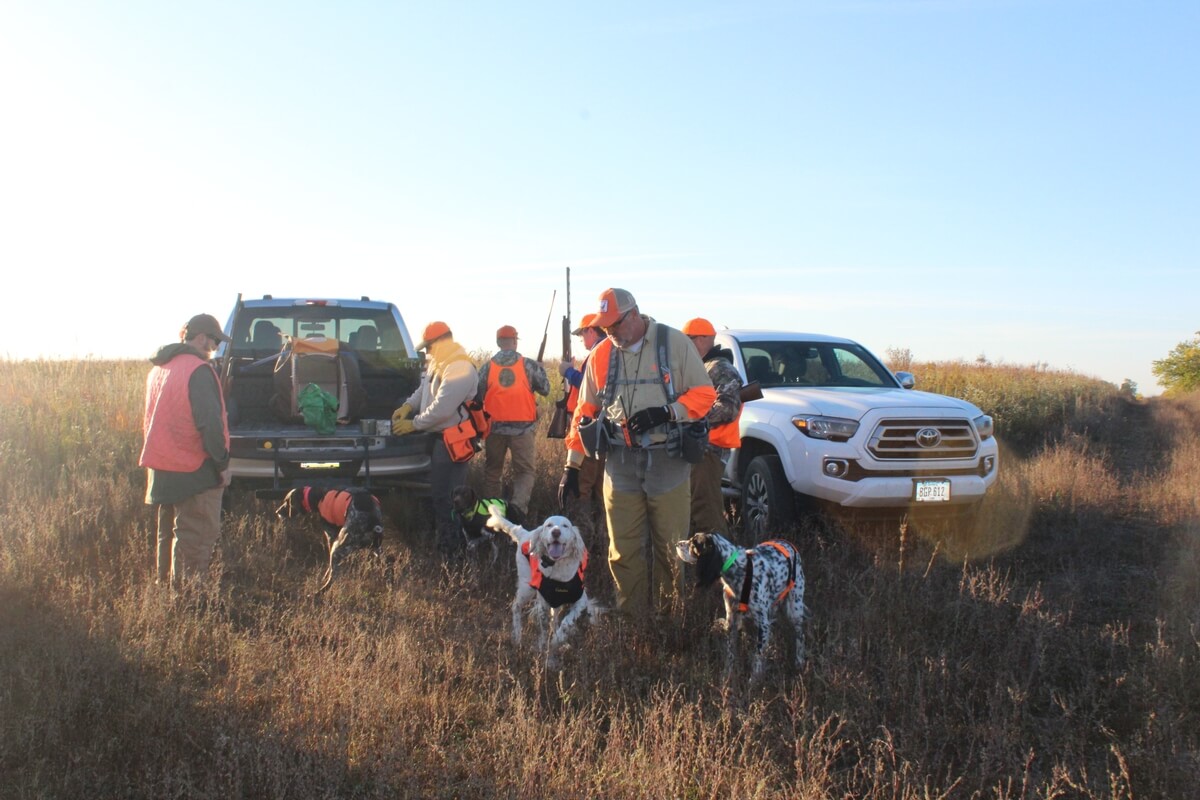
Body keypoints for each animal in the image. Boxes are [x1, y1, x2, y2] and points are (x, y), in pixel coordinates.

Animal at [486, 506, 597, 668]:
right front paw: (546, 653)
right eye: (549, 525)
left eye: (565, 526)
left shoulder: (580, 600)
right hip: (527, 588)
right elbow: (545, 632)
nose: (556, 532)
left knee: (555, 620)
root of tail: (525, 533)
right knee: (516, 606)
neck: (558, 571)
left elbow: (565, 623)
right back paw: (517, 637)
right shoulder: (543, 604)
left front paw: (558, 642)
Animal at [675, 532, 806, 681]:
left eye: (693, 543)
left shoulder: (763, 623)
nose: (677, 544)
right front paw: (727, 675)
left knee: (800, 636)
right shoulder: (731, 620)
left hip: (795, 609)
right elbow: (730, 653)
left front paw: (753, 680)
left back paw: (799, 662)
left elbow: (758, 655)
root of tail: (788, 544)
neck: (738, 572)